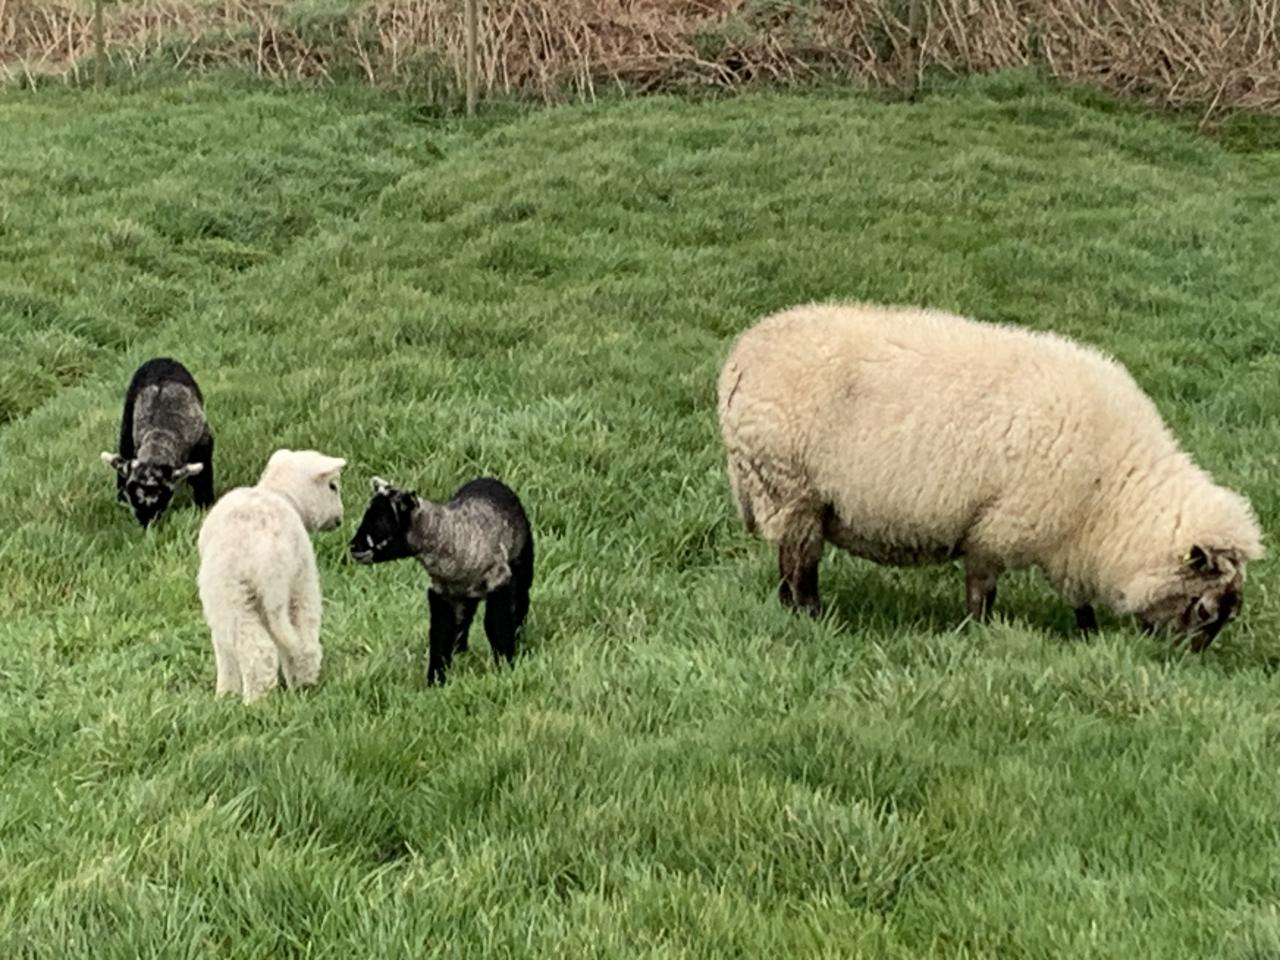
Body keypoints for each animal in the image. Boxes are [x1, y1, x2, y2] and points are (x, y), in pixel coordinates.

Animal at [100, 357, 214, 527]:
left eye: (162, 499)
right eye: (133, 500)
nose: (147, 524)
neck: (160, 437)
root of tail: (161, 359)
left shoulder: (203, 444)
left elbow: (203, 481)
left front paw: (205, 508)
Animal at [196, 448, 347, 703]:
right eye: (332, 487)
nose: (339, 519)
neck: (276, 492)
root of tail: (272, 554)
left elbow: (222, 647)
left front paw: (225, 693)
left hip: (231, 593)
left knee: (256, 650)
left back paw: (253, 701)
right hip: (301, 580)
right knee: (305, 639)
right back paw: (303, 686)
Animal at [349, 475, 534, 685]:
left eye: (381, 521)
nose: (353, 546)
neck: (445, 534)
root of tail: (488, 479)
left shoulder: (499, 581)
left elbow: (497, 625)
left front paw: (505, 665)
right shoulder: (442, 595)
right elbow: (440, 635)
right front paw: (436, 680)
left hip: (522, 565)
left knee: (520, 603)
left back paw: (518, 636)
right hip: (465, 596)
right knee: (464, 620)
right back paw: (460, 651)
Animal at [716, 301, 1265, 650]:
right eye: (1205, 610)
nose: (1184, 663)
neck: (1114, 493)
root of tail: (741, 356)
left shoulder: (1068, 540)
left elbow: (1078, 597)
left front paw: (1086, 636)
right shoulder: (1001, 525)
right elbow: (982, 589)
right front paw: (978, 632)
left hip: (787, 494)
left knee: (788, 562)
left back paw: (790, 611)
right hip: (791, 488)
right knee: (800, 565)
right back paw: (810, 616)